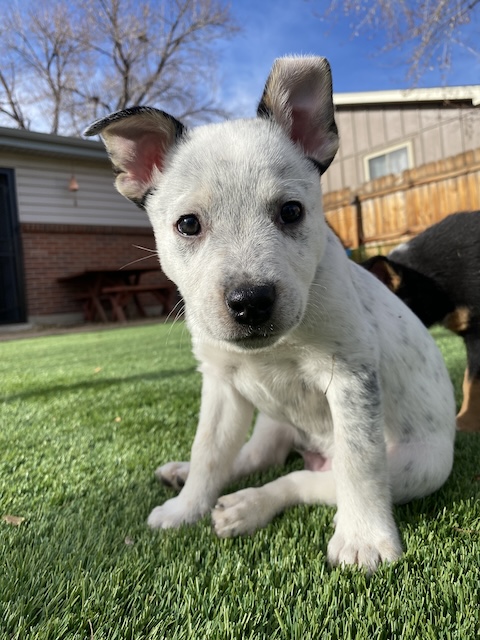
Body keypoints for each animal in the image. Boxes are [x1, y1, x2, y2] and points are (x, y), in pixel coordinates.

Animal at [84, 57, 456, 572]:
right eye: (188, 224)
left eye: (292, 211)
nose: (250, 301)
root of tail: (312, 450)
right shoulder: (221, 386)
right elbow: (210, 452)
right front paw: (186, 508)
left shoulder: (351, 380)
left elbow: (360, 465)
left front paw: (364, 539)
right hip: (272, 424)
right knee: (248, 458)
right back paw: (186, 477)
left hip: (414, 468)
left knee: (310, 482)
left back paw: (248, 506)